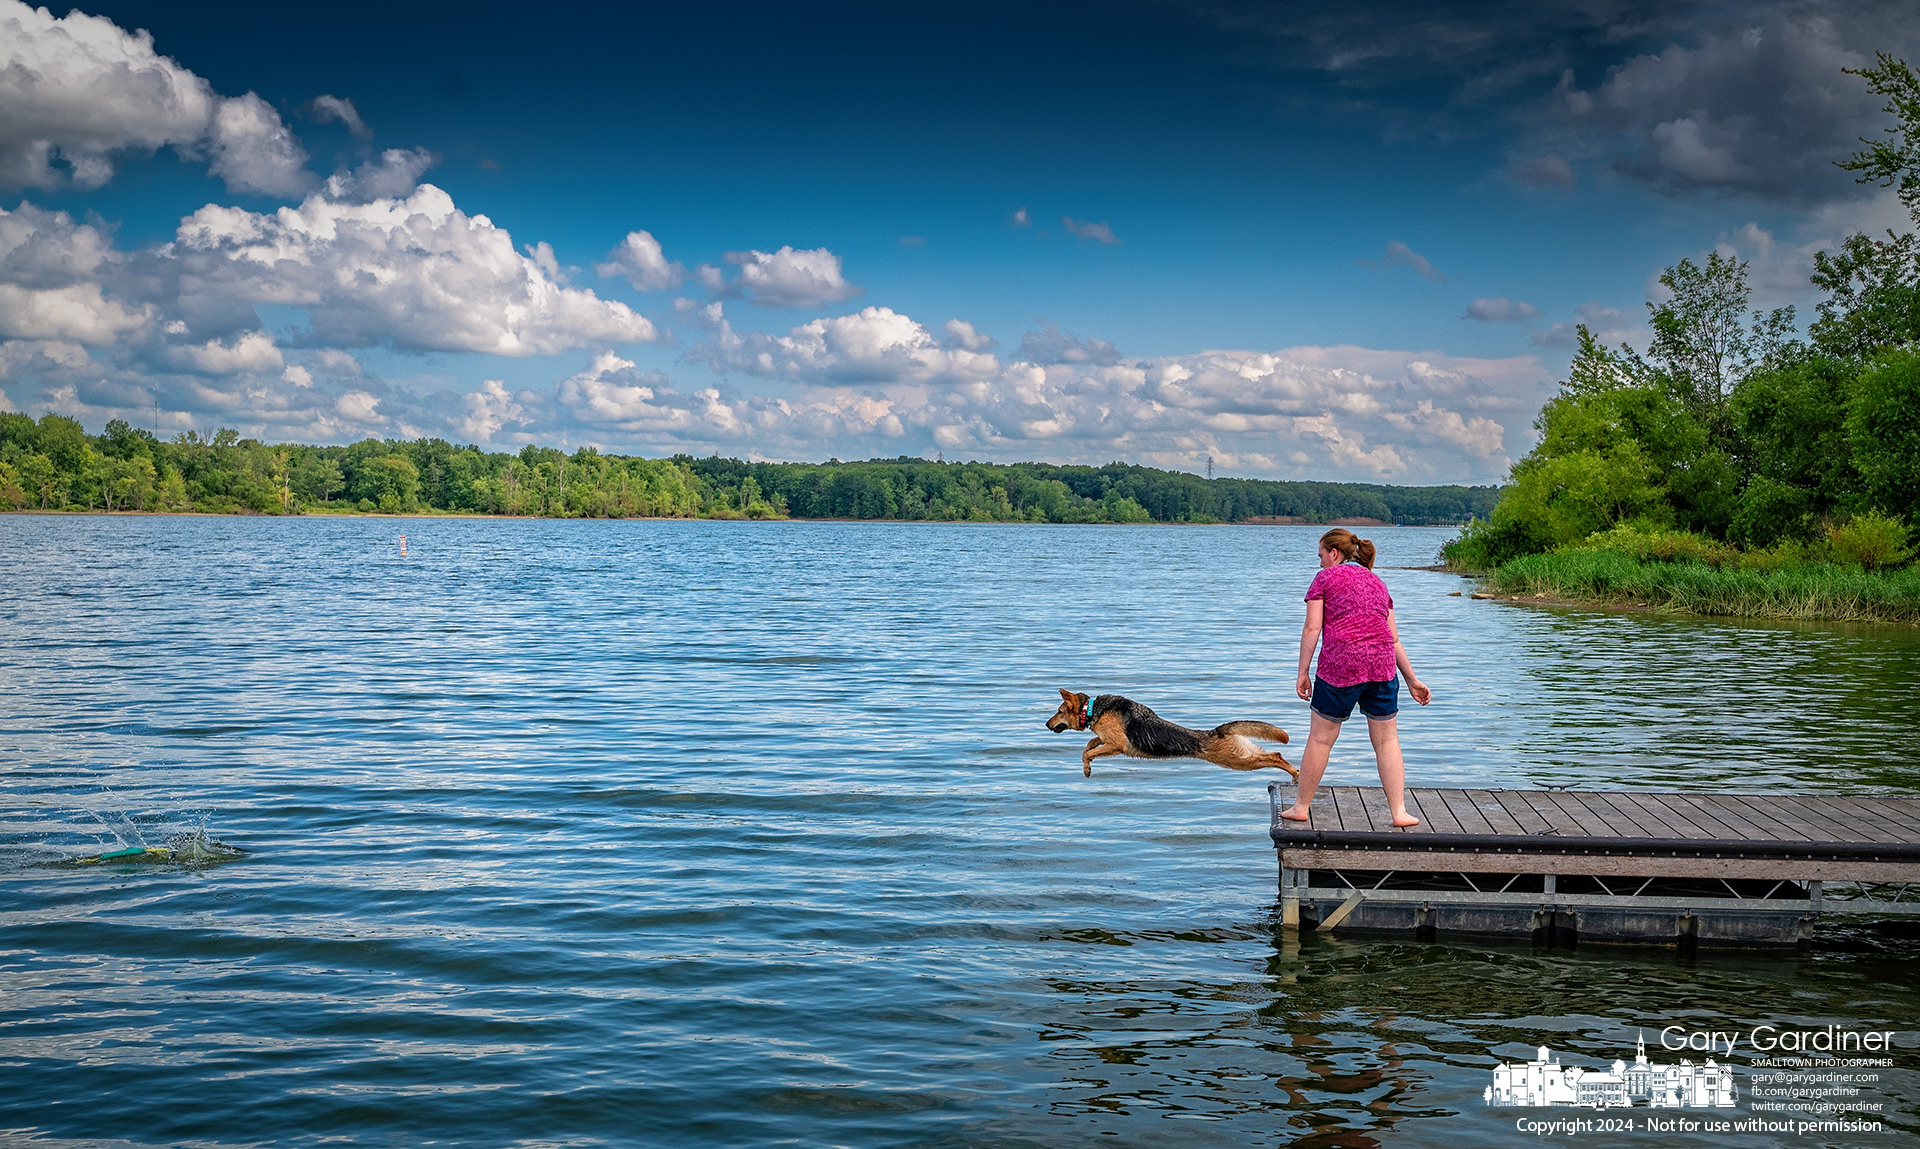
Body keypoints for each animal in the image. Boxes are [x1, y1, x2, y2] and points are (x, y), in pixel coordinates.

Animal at [1044, 691, 1297, 783]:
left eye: (1058, 711)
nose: (1046, 724)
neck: (1091, 709)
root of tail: (1218, 730)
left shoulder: (1117, 745)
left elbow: (1087, 752)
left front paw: (1087, 768)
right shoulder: (1106, 740)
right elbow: (1090, 743)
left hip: (1237, 761)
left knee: (1274, 757)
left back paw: (1294, 773)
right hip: (1244, 754)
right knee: (1275, 752)